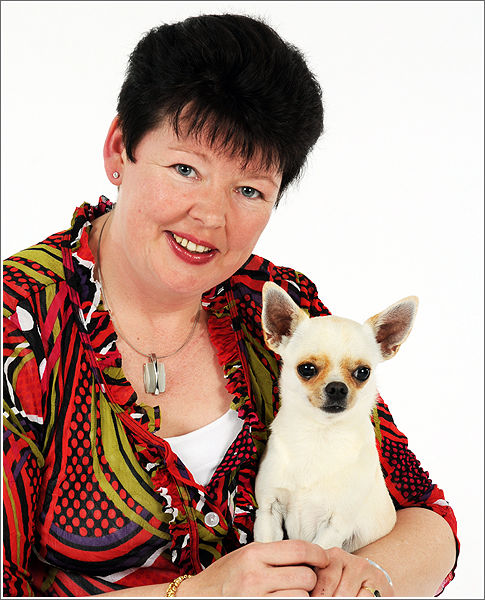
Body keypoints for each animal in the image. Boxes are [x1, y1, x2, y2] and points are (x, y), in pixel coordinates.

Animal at [253, 281, 418, 552]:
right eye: (306, 369)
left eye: (363, 372)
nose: (337, 388)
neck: (320, 435)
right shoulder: (268, 510)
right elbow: (267, 546)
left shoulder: (335, 527)